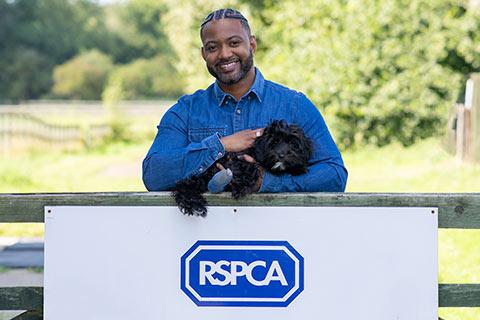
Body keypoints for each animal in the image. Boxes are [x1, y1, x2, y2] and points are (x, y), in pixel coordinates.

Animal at [171, 120, 314, 218]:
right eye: (274, 143)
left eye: (292, 143)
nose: (281, 155)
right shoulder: (236, 159)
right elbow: (249, 168)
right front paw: (240, 186)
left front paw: (298, 168)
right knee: (184, 184)